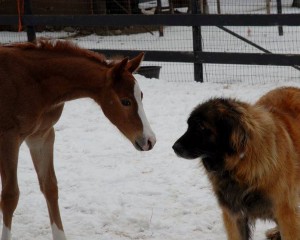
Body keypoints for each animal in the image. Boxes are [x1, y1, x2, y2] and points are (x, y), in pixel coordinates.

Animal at [0, 40, 156, 239]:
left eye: (141, 97)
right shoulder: (8, 138)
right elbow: (10, 196)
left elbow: (50, 187)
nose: (150, 140)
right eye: (125, 101)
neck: (35, 85)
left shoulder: (41, 136)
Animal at [172, 87, 300, 240]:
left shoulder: (285, 211)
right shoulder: (233, 214)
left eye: (201, 127)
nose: (174, 147)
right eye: (189, 126)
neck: (238, 166)